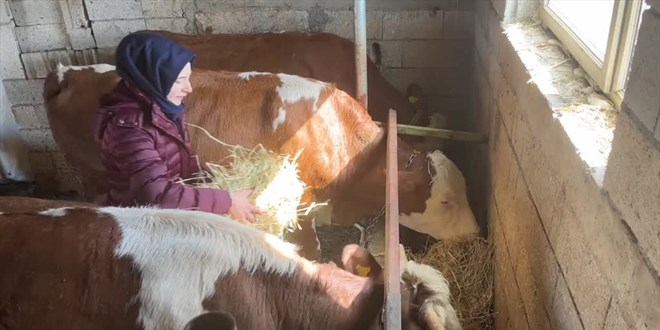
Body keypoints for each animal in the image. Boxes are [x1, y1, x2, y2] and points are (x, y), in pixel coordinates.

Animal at [45, 64, 480, 260]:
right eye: (444, 200)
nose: (476, 233)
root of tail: (68, 72)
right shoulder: (299, 201)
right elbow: (310, 247)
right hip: (94, 178)